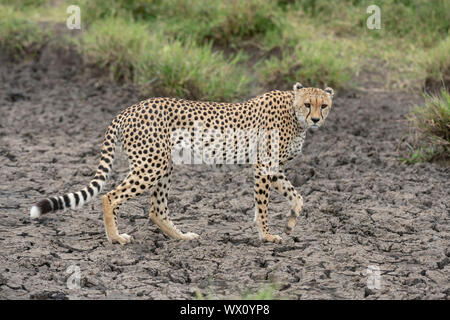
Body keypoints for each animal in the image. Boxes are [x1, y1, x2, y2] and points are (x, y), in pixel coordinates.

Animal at [29, 82, 334, 245]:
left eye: (324, 105)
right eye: (308, 104)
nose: (316, 119)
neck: (294, 115)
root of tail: (128, 109)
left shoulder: (273, 168)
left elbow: (298, 197)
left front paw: (290, 224)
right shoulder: (263, 167)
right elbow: (263, 207)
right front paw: (267, 235)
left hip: (163, 165)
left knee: (156, 209)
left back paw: (181, 237)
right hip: (151, 164)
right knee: (110, 196)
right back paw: (116, 238)